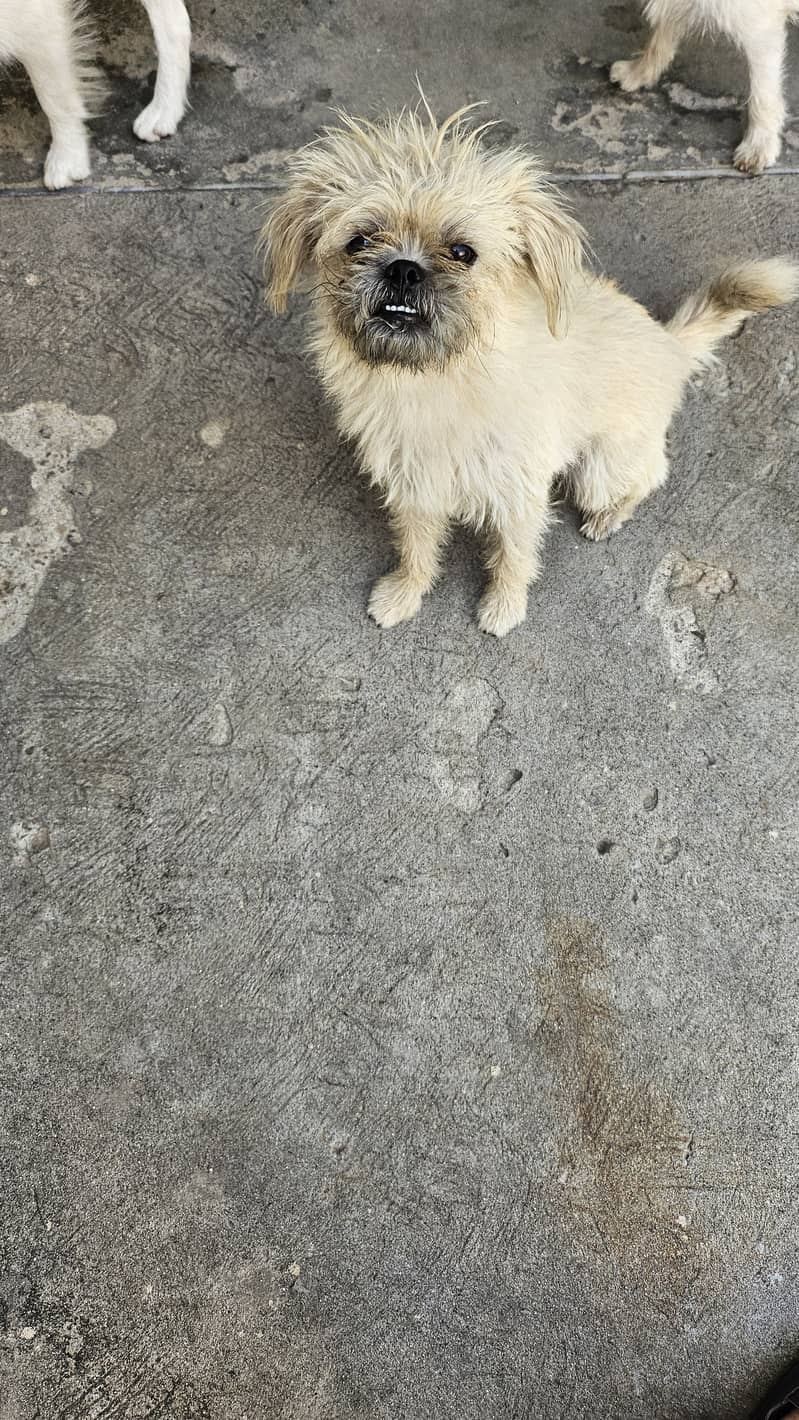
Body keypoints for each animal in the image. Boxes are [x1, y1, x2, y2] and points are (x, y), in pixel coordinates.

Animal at [263, 107, 799, 641]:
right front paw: (405, 594)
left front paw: (504, 606)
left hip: (601, 470)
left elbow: (514, 557)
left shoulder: (519, 491)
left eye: (462, 252)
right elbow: (416, 549)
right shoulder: (415, 484)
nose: (403, 269)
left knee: (652, 474)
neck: (439, 377)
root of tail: (670, 344)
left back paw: (610, 516)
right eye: (359, 241)